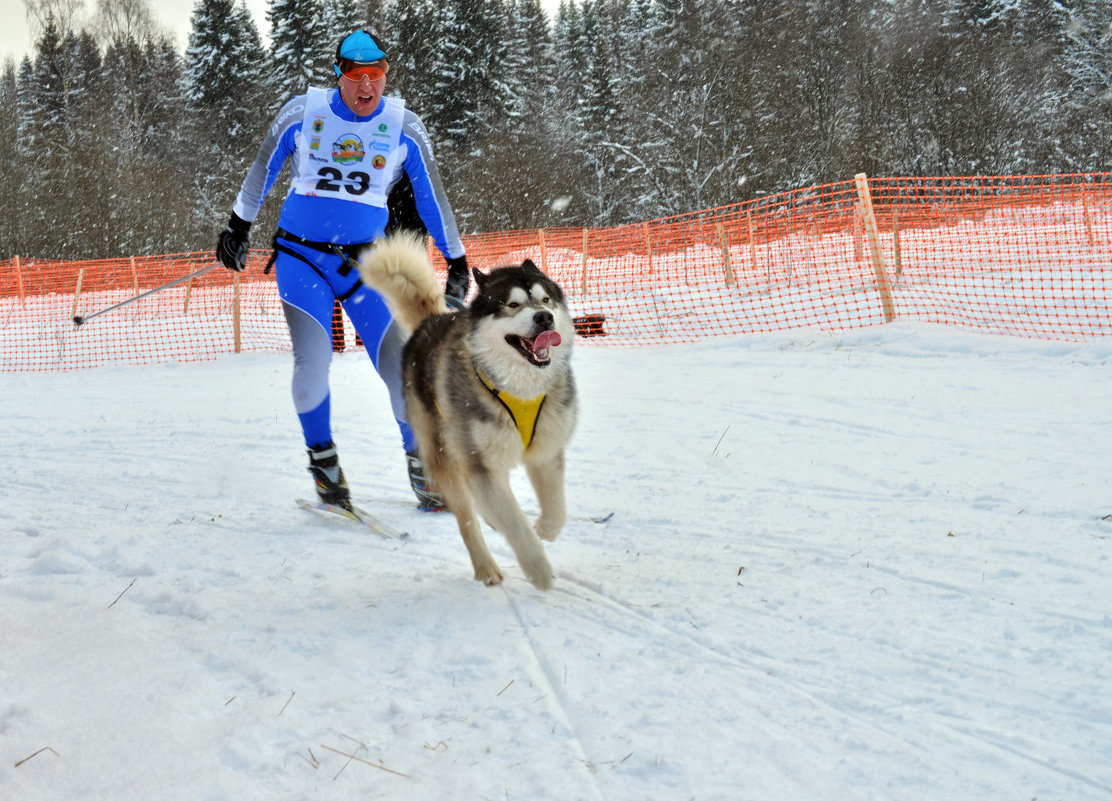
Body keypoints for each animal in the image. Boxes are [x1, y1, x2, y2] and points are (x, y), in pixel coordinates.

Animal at [360, 231, 578, 587]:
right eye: (512, 305)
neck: (519, 388)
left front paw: (545, 529)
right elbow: (514, 522)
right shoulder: (482, 464)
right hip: (445, 456)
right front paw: (538, 569)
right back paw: (486, 567)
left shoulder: (546, 450)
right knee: (467, 520)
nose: (544, 318)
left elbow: (557, 507)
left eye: (546, 300)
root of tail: (431, 321)